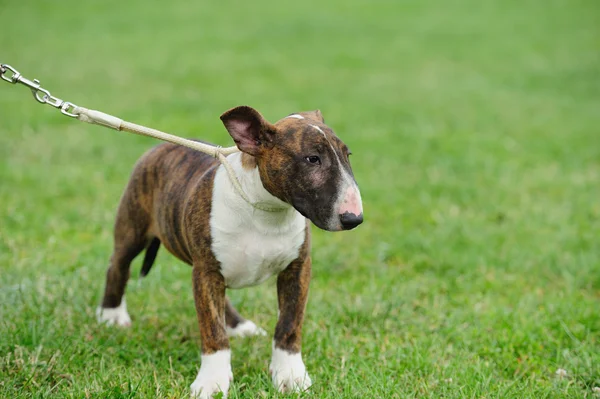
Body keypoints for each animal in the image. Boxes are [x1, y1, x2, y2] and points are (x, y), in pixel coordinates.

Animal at [96, 107, 364, 399]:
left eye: (348, 155)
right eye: (312, 159)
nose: (354, 219)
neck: (266, 209)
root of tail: (160, 146)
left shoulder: (298, 267)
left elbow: (289, 324)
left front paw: (291, 376)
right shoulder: (206, 270)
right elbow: (213, 330)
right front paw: (212, 382)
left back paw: (240, 326)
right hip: (133, 228)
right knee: (117, 265)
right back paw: (111, 314)